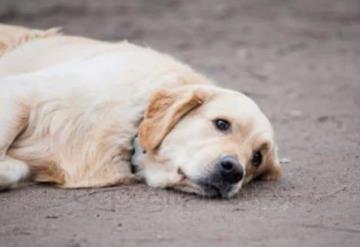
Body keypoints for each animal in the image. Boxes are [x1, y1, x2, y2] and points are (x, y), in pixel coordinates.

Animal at [0, 24, 282, 199]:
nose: (234, 170)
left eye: (256, 158)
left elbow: (15, 168)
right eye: (222, 124)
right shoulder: (21, 91)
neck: (130, 128)